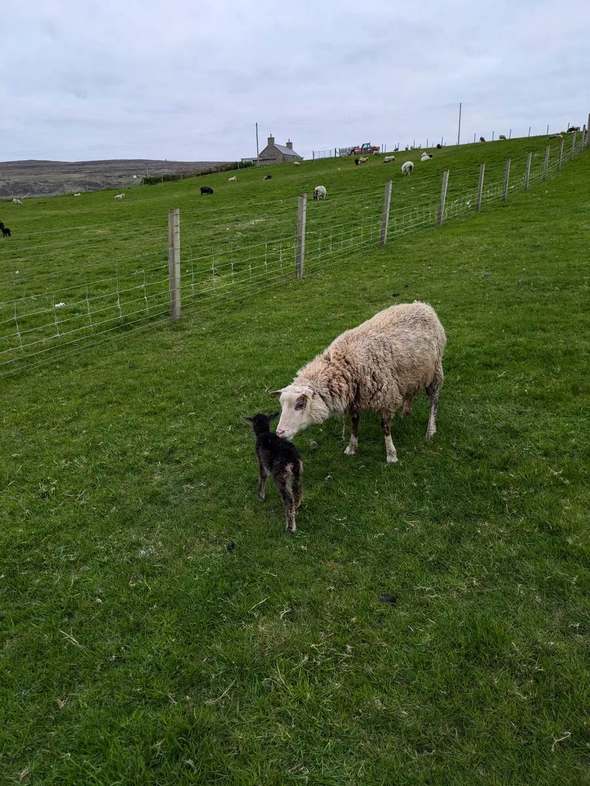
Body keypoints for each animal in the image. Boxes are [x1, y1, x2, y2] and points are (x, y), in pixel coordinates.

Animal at [273, 302, 446, 464]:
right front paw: (351, 448)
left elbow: (385, 427)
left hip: (435, 370)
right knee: (411, 392)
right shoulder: (355, 400)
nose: (279, 433)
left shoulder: (385, 397)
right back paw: (406, 411)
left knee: (434, 400)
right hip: (412, 374)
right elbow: (354, 424)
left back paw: (430, 430)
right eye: (282, 405)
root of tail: (423, 305)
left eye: (300, 404)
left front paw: (391, 454)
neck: (345, 365)